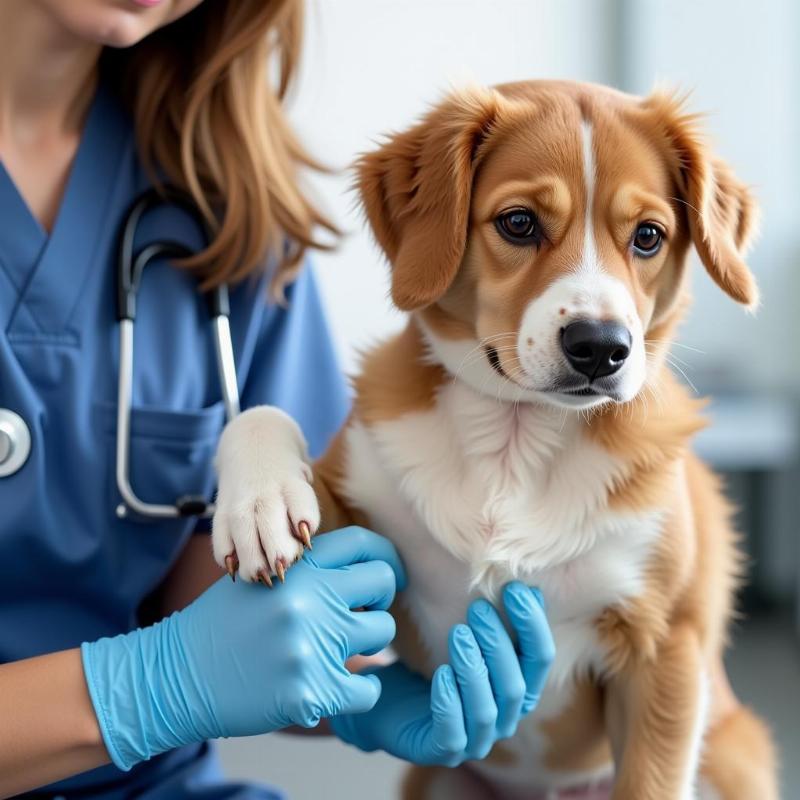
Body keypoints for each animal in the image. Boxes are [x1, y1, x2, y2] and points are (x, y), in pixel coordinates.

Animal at [214, 81, 780, 800]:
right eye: (518, 223)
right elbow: (262, 413)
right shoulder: (363, 518)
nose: (602, 348)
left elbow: (651, 781)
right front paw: (259, 507)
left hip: (729, 751)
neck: (518, 437)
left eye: (649, 236)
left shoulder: (665, 649)